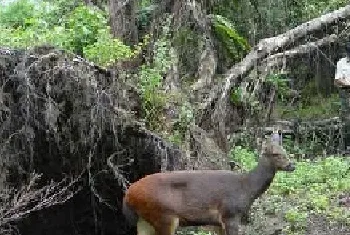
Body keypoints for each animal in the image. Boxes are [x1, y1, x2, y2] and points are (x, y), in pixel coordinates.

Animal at [123, 137, 296, 234]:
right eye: (276, 154)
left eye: (285, 151)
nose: (292, 165)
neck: (247, 188)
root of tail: (128, 194)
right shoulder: (230, 214)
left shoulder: (217, 222)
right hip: (164, 215)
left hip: (145, 220)